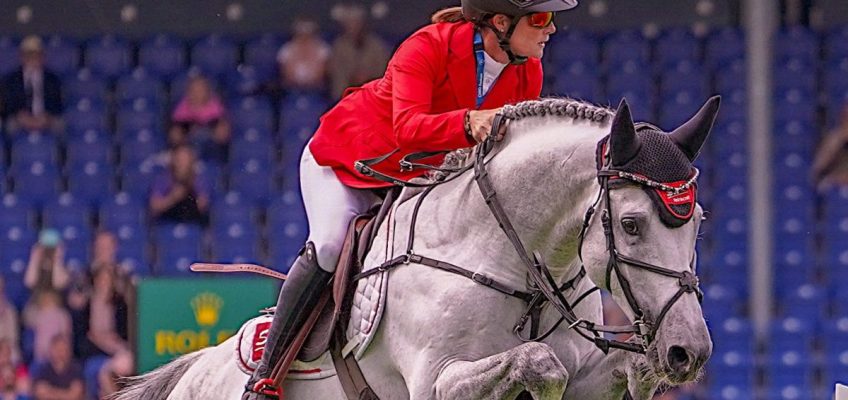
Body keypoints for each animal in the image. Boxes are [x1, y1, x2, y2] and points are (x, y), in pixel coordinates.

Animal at [112, 95, 720, 398]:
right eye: (633, 225)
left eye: (697, 224)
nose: (688, 353)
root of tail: (195, 369)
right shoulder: (437, 381)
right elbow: (540, 363)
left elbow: (615, 373)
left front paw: (645, 370)